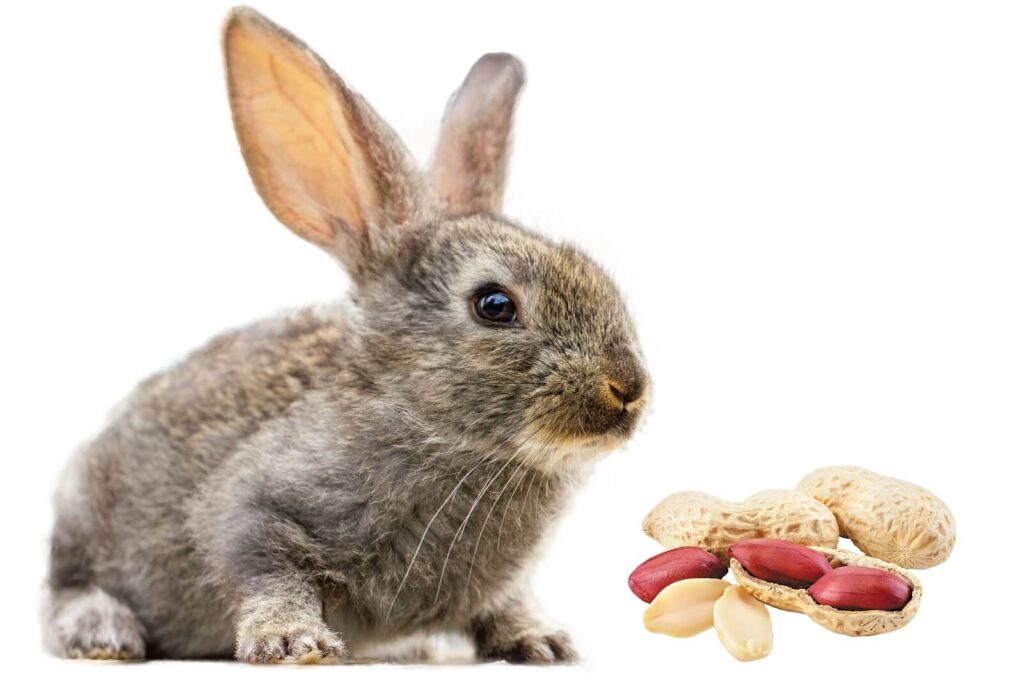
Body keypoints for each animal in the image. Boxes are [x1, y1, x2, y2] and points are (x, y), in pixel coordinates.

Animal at [44, 6, 649, 665]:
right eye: (494, 306)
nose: (629, 387)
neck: (429, 426)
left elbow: (505, 603)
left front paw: (544, 642)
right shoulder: (252, 509)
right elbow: (266, 569)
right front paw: (294, 642)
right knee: (67, 589)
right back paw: (103, 633)